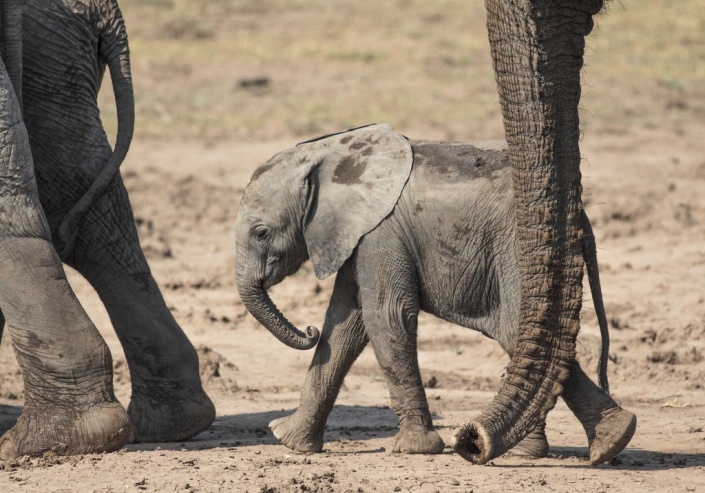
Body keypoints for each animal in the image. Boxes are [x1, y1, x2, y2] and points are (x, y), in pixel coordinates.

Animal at [234, 124, 636, 464]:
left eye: (261, 233)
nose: (306, 330)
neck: (330, 153)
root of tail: (580, 214)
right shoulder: (357, 235)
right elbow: (345, 324)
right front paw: (288, 440)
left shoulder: (381, 231)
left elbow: (385, 316)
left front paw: (411, 450)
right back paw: (543, 450)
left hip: (519, 248)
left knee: (517, 330)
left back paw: (612, 439)